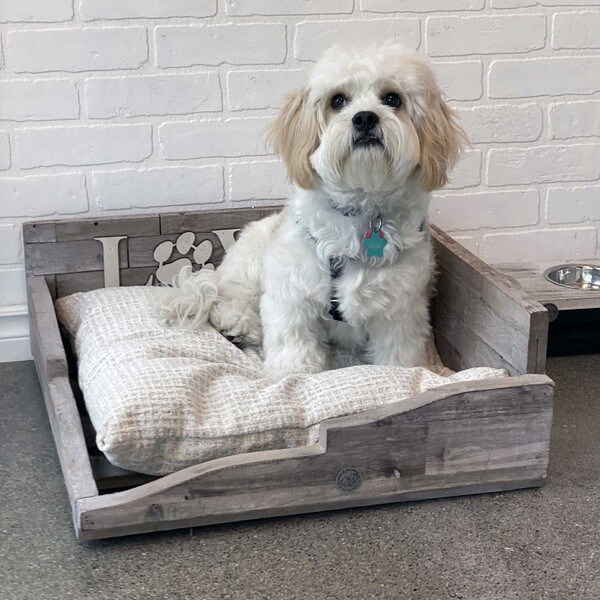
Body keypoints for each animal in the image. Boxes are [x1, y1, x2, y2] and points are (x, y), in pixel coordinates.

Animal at [158, 44, 464, 378]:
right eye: (338, 100)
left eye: (393, 98)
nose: (364, 118)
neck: (360, 212)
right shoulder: (292, 290)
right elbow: (293, 344)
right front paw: (292, 374)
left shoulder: (401, 307)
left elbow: (398, 354)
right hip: (251, 258)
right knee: (228, 295)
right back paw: (238, 324)